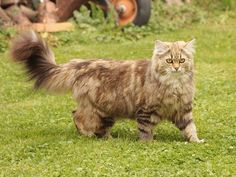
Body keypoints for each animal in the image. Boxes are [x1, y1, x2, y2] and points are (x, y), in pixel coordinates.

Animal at [10, 31, 204, 142]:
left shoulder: (183, 110)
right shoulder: (145, 110)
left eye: (182, 60)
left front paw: (196, 141)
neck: (175, 86)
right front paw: (148, 143)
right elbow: (145, 130)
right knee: (80, 118)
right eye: (169, 61)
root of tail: (81, 64)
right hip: (102, 110)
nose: (176, 68)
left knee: (76, 113)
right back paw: (100, 137)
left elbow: (190, 128)